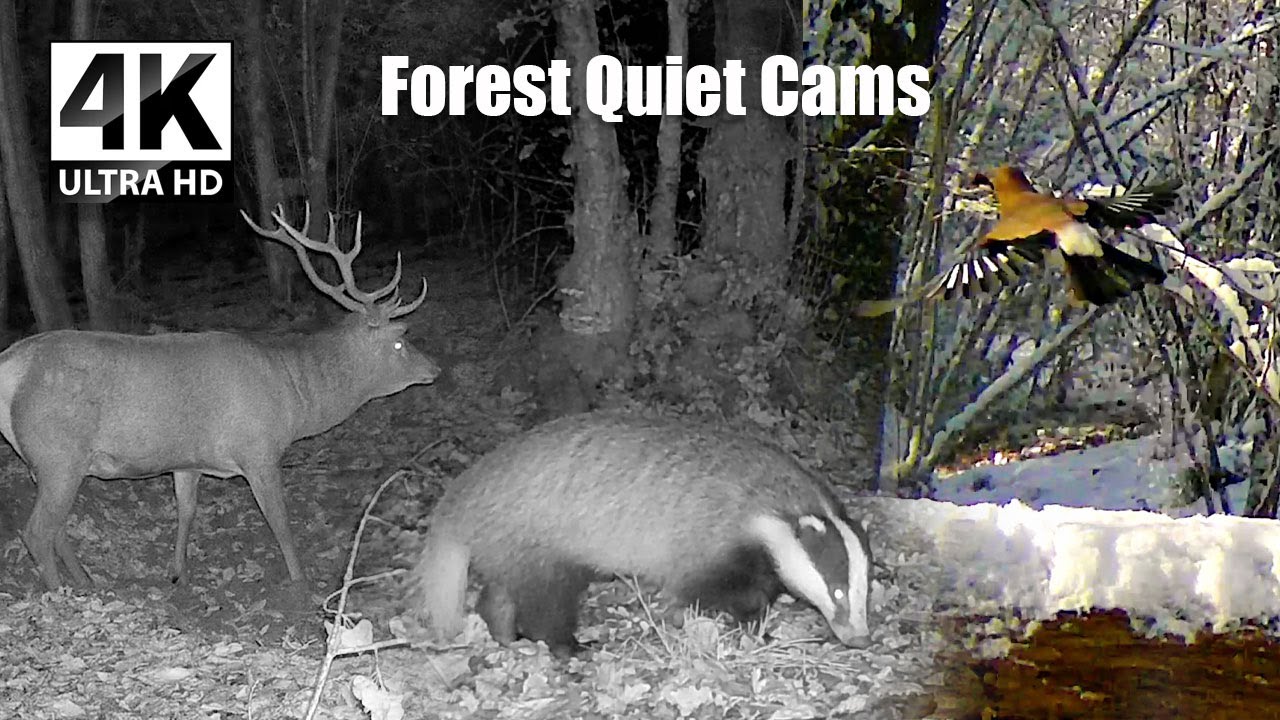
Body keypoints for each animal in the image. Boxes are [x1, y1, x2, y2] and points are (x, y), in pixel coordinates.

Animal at [0, 205, 440, 590]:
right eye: (400, 341)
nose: (435, 369)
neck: (294, 399)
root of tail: (10, 365)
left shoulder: (187, 459)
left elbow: (187, 511)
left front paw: (178, 573)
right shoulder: (258, 448)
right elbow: (280, 521)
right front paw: (300, 585)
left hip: (44, 461)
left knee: (55, 529)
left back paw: (85, 581)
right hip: (58, 453)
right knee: (36, 531)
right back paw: (61, 594)